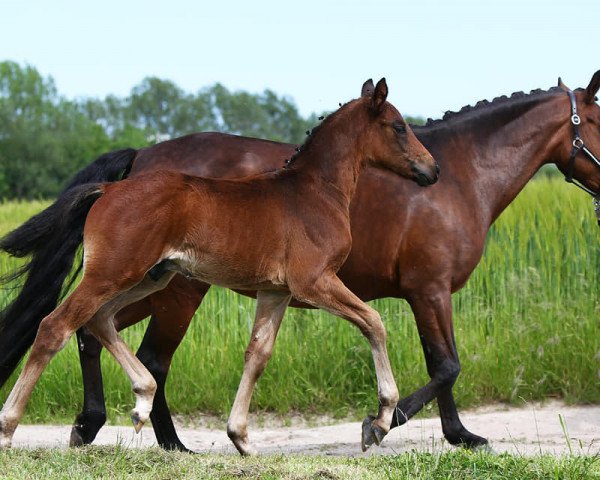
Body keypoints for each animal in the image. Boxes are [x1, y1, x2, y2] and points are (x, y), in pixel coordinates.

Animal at [1, 73, 600, 452]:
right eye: (399, 125)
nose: (429, 171)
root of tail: (118, 178)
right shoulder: (397, 287)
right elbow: (422, 351)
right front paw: (382, 422)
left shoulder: (282, 290)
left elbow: (259, 354)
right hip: (157, 285)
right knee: (73, 330)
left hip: (153, 279)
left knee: (98, 328)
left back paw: (117, 419)